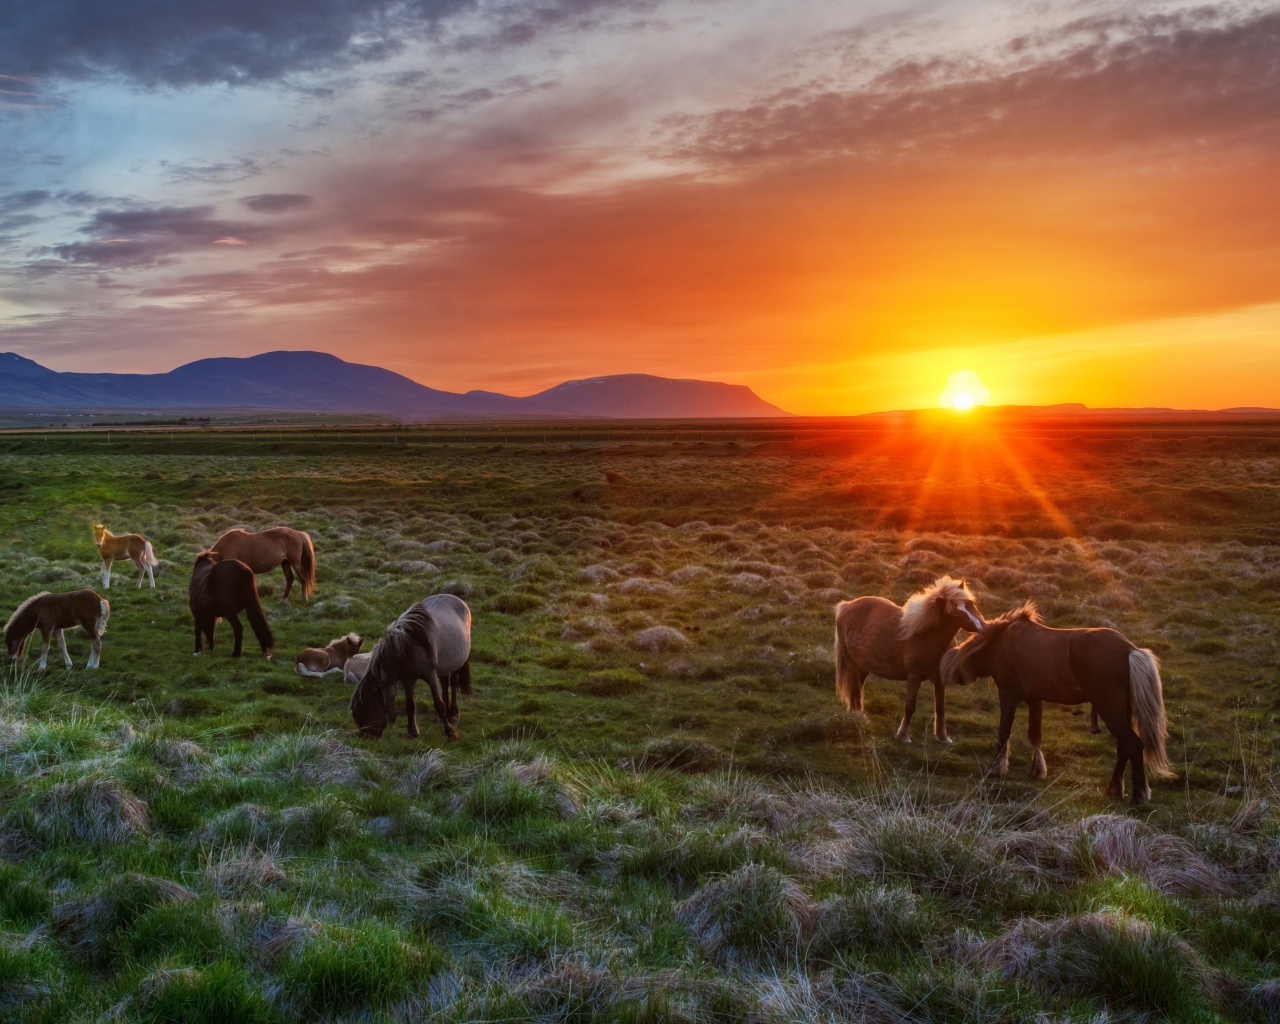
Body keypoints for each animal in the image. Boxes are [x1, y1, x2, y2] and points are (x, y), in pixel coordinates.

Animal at [350, 591, 471, 742]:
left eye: (368, 709)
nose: (364, 736)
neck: (407, 648)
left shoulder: (430, 676)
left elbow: (439, 705)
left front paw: (450, 732)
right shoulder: (407, 680)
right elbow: (410, 706)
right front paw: (412, 732)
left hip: (457, 663)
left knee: (453, 683)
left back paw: (453, 714)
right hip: (444, 666)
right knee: (444, 684)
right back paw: (443, 717)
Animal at [829, 576, 988, 742]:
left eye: (971, 604)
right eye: (955, 614)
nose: (983, 628)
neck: (928, 636)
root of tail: (846, 606)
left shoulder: (940, 679)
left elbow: (940, 707)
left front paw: (942, 737)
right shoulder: (914, 676)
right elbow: (910, 706)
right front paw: (903, 735)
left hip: (863, 666)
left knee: (857, 689)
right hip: (852, 663)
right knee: (854, 690)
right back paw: (859, 718)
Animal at [936, 599, 1172, 808]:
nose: (956, 676)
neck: (1000, 642)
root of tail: (1130, 650)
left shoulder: (1009, 695)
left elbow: (1004, 733)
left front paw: (997, 768)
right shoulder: (1035, 699)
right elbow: (1035, 735)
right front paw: (1037, 770)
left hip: (1110, 709)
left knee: (1133, 745)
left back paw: (1139, 794)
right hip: (1123, 712)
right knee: (1124, 747)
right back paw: (1114, 789)